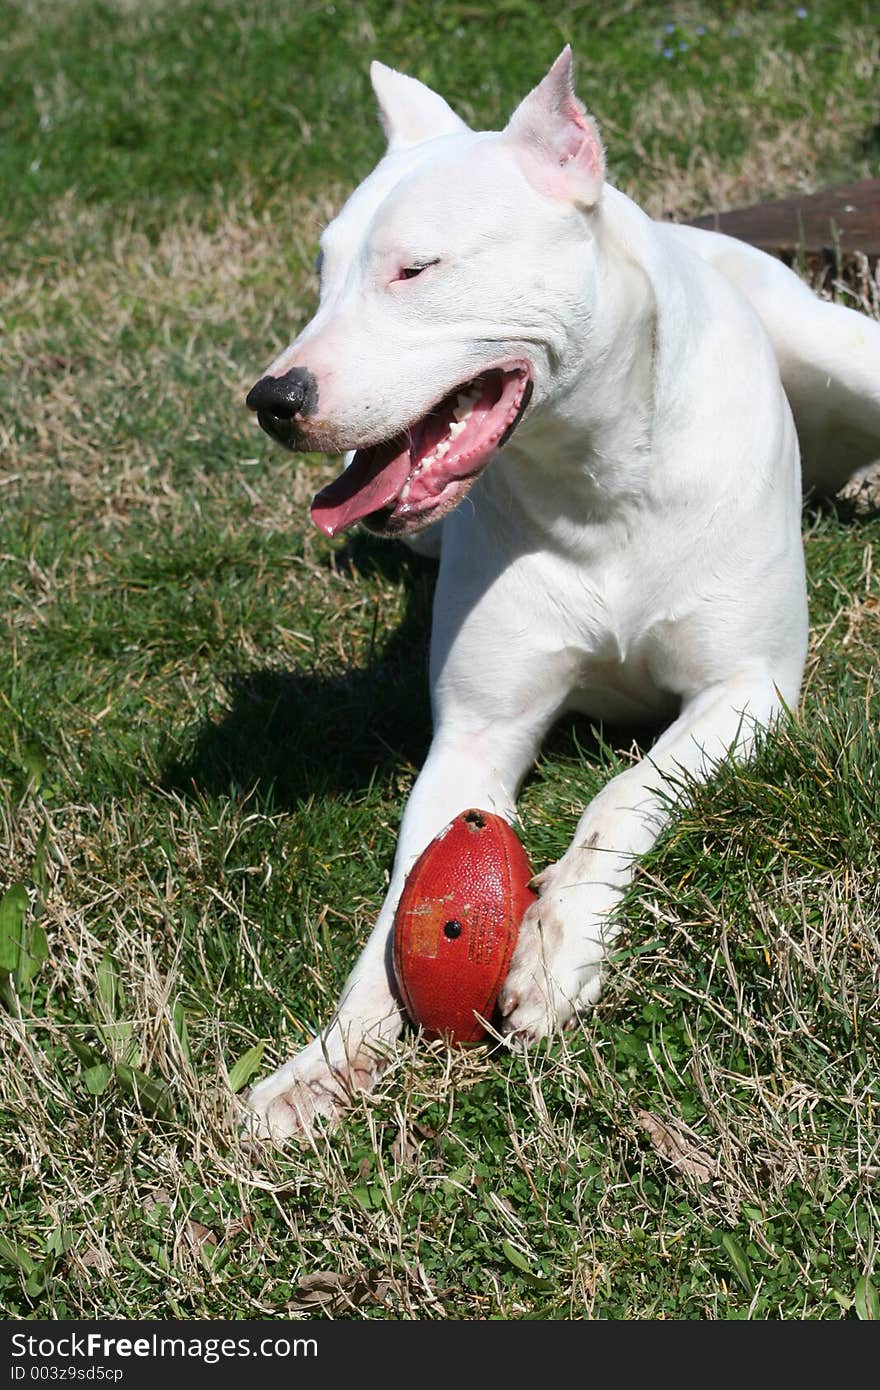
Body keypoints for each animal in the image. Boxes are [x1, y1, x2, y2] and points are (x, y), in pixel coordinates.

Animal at [243, 54, 878, 1139]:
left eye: (416, 270)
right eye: (321, 278)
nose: (273, 400)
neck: (597, 476)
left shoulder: (749, 690)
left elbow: (623, 792)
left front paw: (556, 942)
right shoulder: (473, 735)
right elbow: (402, 901)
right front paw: (326, 1059)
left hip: (839, 347)